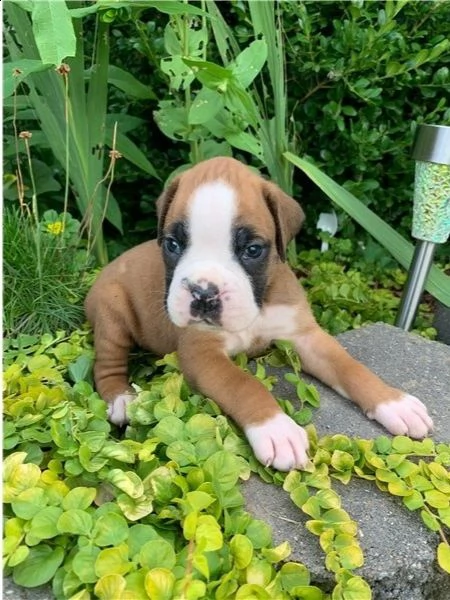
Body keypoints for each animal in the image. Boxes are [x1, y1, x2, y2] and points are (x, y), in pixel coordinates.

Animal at [84, 157, 432, 472]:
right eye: (172, 244)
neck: (259, 303)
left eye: (252, 250)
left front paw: (392, 402)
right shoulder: (202, 354)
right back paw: (121, 399)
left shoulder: (304, 336)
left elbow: (350, 367)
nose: (203, 293)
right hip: (112, 311)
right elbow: (244, 384)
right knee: (107, 363)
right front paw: (276, 429)